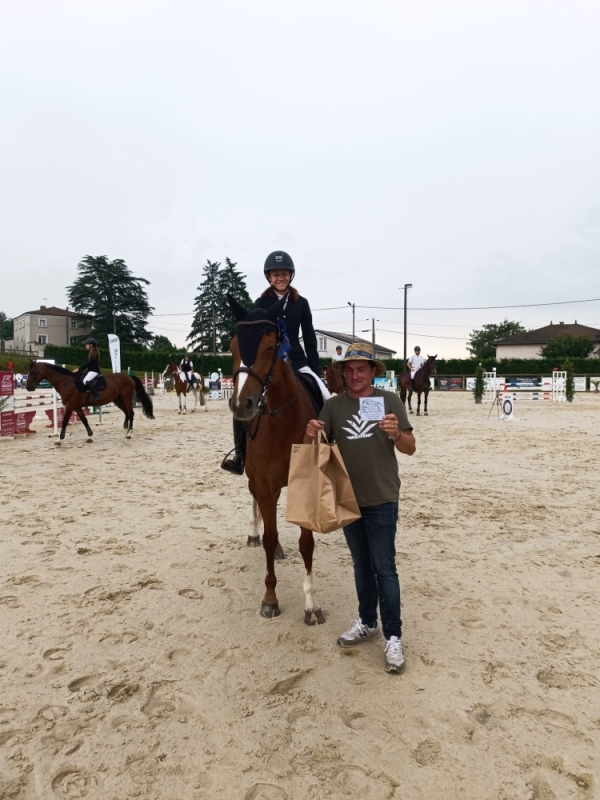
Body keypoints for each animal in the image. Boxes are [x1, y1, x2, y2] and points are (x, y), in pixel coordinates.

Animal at [26, 360, 154, 444]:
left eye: (33, 371)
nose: (28, 387)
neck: (66, 382)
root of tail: (129, 377)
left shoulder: (70, 406)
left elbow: (65, 421)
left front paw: (59, 439)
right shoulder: (76, 407)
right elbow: (84, 420)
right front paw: (90, 436)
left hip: (127, 399)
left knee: (131, 413)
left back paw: (129, 433)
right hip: (118, 400)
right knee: (127, 413)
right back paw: (126, 428)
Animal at [227, 294, 326, 624]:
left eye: (271, 346)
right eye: (232, 346)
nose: (241, 405)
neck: (282, 420)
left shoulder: (305, 484)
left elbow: (307, 543)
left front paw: (311, 604)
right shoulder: (263, 482)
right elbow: (270, 538)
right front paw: (270, 599)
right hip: (255, 480)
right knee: (256, 505)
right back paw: (253, 534)